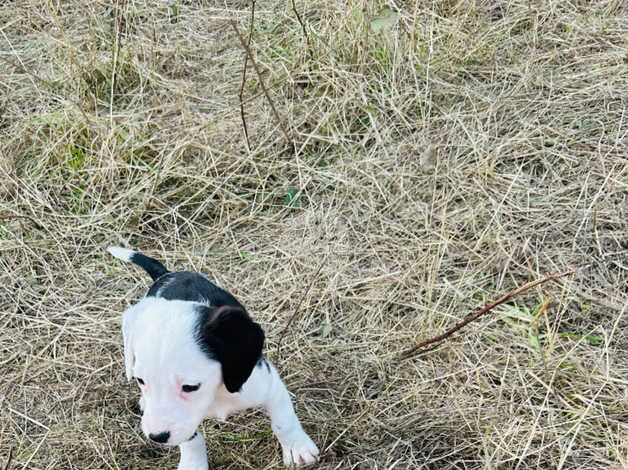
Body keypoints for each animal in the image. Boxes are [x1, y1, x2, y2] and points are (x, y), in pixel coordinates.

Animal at [107, 248, 318, 468]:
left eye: (190, 387)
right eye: (140, 380)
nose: (156, 437)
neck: (216, 394)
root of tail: (167, 274)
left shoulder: (268, 383)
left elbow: (284, 421)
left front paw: (297, 449)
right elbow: (191, 441)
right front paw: (193, 465)